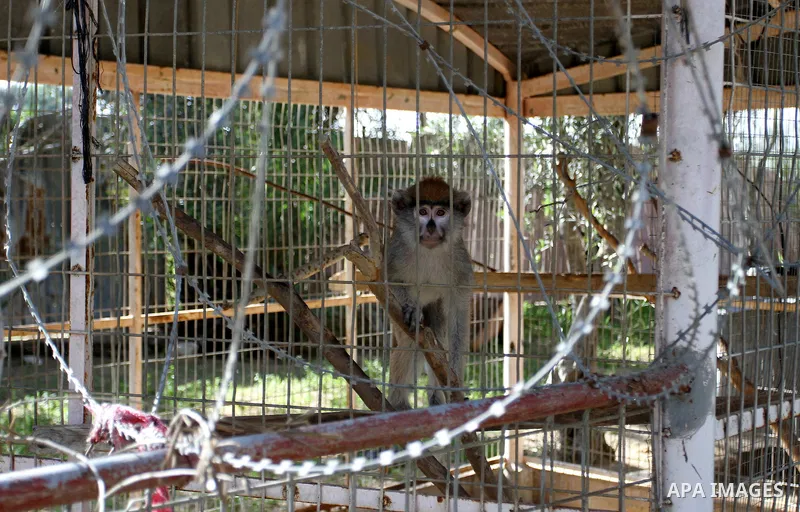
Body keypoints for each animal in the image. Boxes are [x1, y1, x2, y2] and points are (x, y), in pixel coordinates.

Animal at [386, 176, 475, 410]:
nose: (432, 228)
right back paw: (398, 404)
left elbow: (457, 321)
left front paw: (454, 382)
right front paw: (410, 308)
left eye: (441, 213)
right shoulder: (395, 252)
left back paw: (436, 397)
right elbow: (386, 281)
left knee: (437, 334)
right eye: (423, 212)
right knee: (408, 342)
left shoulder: (461, 266)